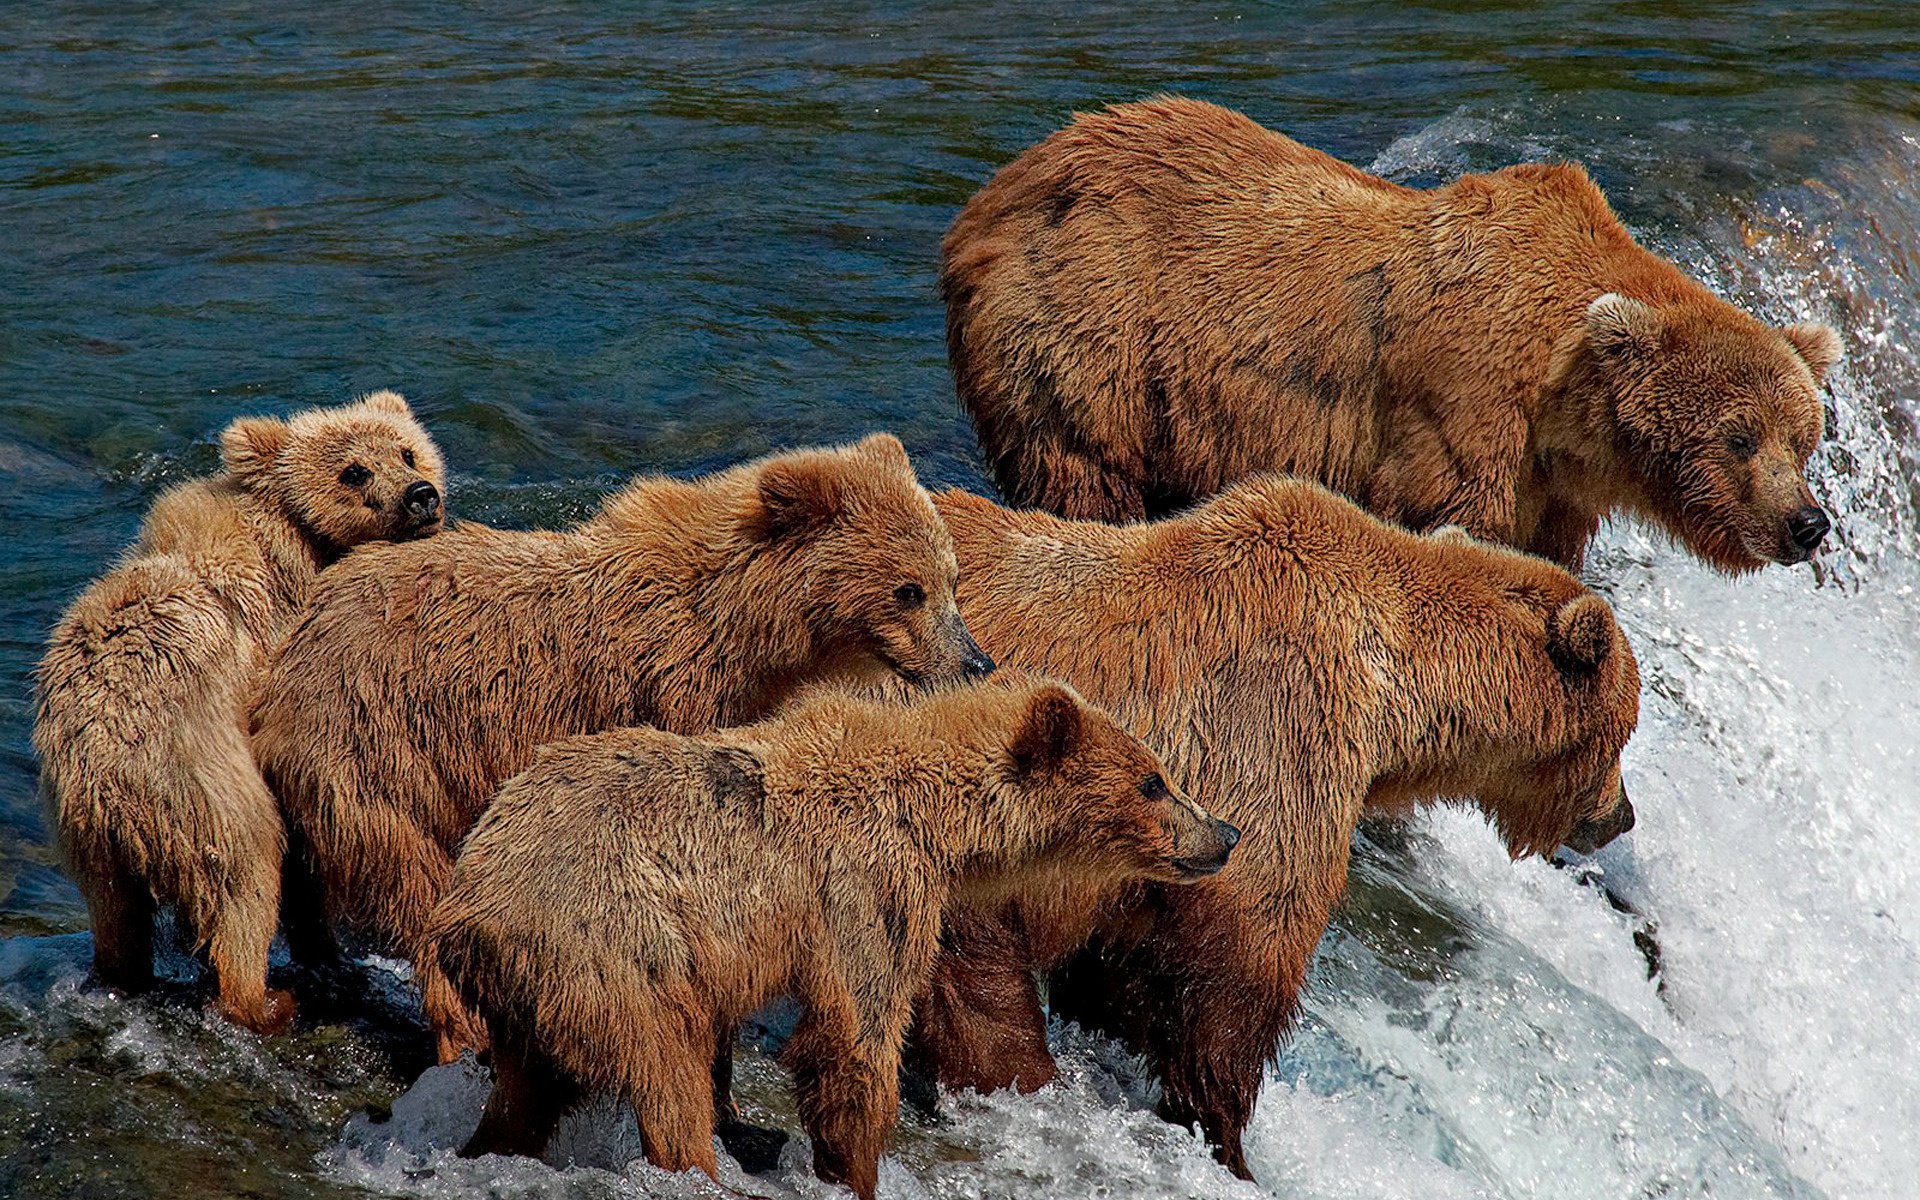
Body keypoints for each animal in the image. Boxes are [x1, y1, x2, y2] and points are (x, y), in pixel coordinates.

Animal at [34, 390, 446, 1034]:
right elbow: (302, 850)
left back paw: (120, 977)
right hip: (202, 783)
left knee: (116, 913)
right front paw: (326, 950)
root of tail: (101, 755)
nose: (421, 494)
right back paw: (265, 1000)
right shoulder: (280, 650)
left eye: (407, 450)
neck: (298, 549)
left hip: (82, 830)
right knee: (246, 874)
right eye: (354, 471)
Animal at [250, 433, 996, 1064]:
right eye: (907, 590)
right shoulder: (674, 690)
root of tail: (295, 643)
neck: (748, 627)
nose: (976, 662)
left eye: (952, 579)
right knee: (412, 876)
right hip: (383, 740)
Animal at [426, 675, 1238, 1200]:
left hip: (534, 995)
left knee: (525, 1093)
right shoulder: (865, 886)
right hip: (613, 951)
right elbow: (857, 1034)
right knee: (669, 1075)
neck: (937, 816)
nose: (1226, 833)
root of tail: (465, 905)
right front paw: (855, 1168)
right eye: (1154, 781)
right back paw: (698, 1166)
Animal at [905, 478, 1641, 1179]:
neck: (1392, 696)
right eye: (1624, 733)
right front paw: (1226, 1140)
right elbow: (1236, 972)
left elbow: (1124, 973)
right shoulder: (1274, 745)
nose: (1622, 816)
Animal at [942, 94, 1842, 572]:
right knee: (1081, 467)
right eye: (1739, 436)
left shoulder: (1552, 486)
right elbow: (1444, 518)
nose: (1809, 523)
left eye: (1803, 438)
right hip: (1094, 335)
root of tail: (991, 196)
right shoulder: (1465, 411)